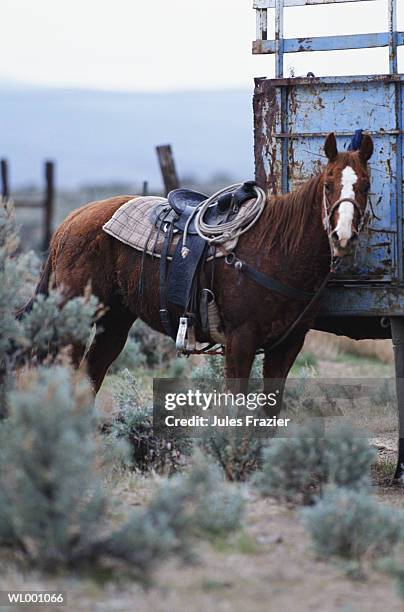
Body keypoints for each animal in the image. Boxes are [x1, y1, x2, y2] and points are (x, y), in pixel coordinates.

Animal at [18, 131, 372, 400]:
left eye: (366, 186)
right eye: (328, 185)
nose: (342, 235)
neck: (277, 251)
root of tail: (71, 220)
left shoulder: (287, 346)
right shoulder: (241, 341)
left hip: (115, 320)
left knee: (93, 373)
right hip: (74, 319)